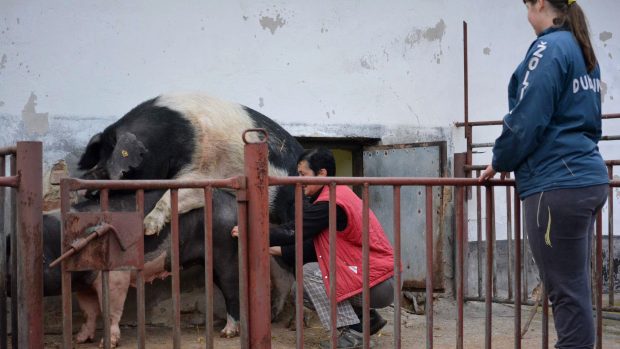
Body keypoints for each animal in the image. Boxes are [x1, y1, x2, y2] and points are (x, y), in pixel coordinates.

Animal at [76, 92, 304, 234]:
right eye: (100, 159)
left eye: (120, 169)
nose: (88, 181)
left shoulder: (204, 169)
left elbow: (177, 192)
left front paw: (147, 229)